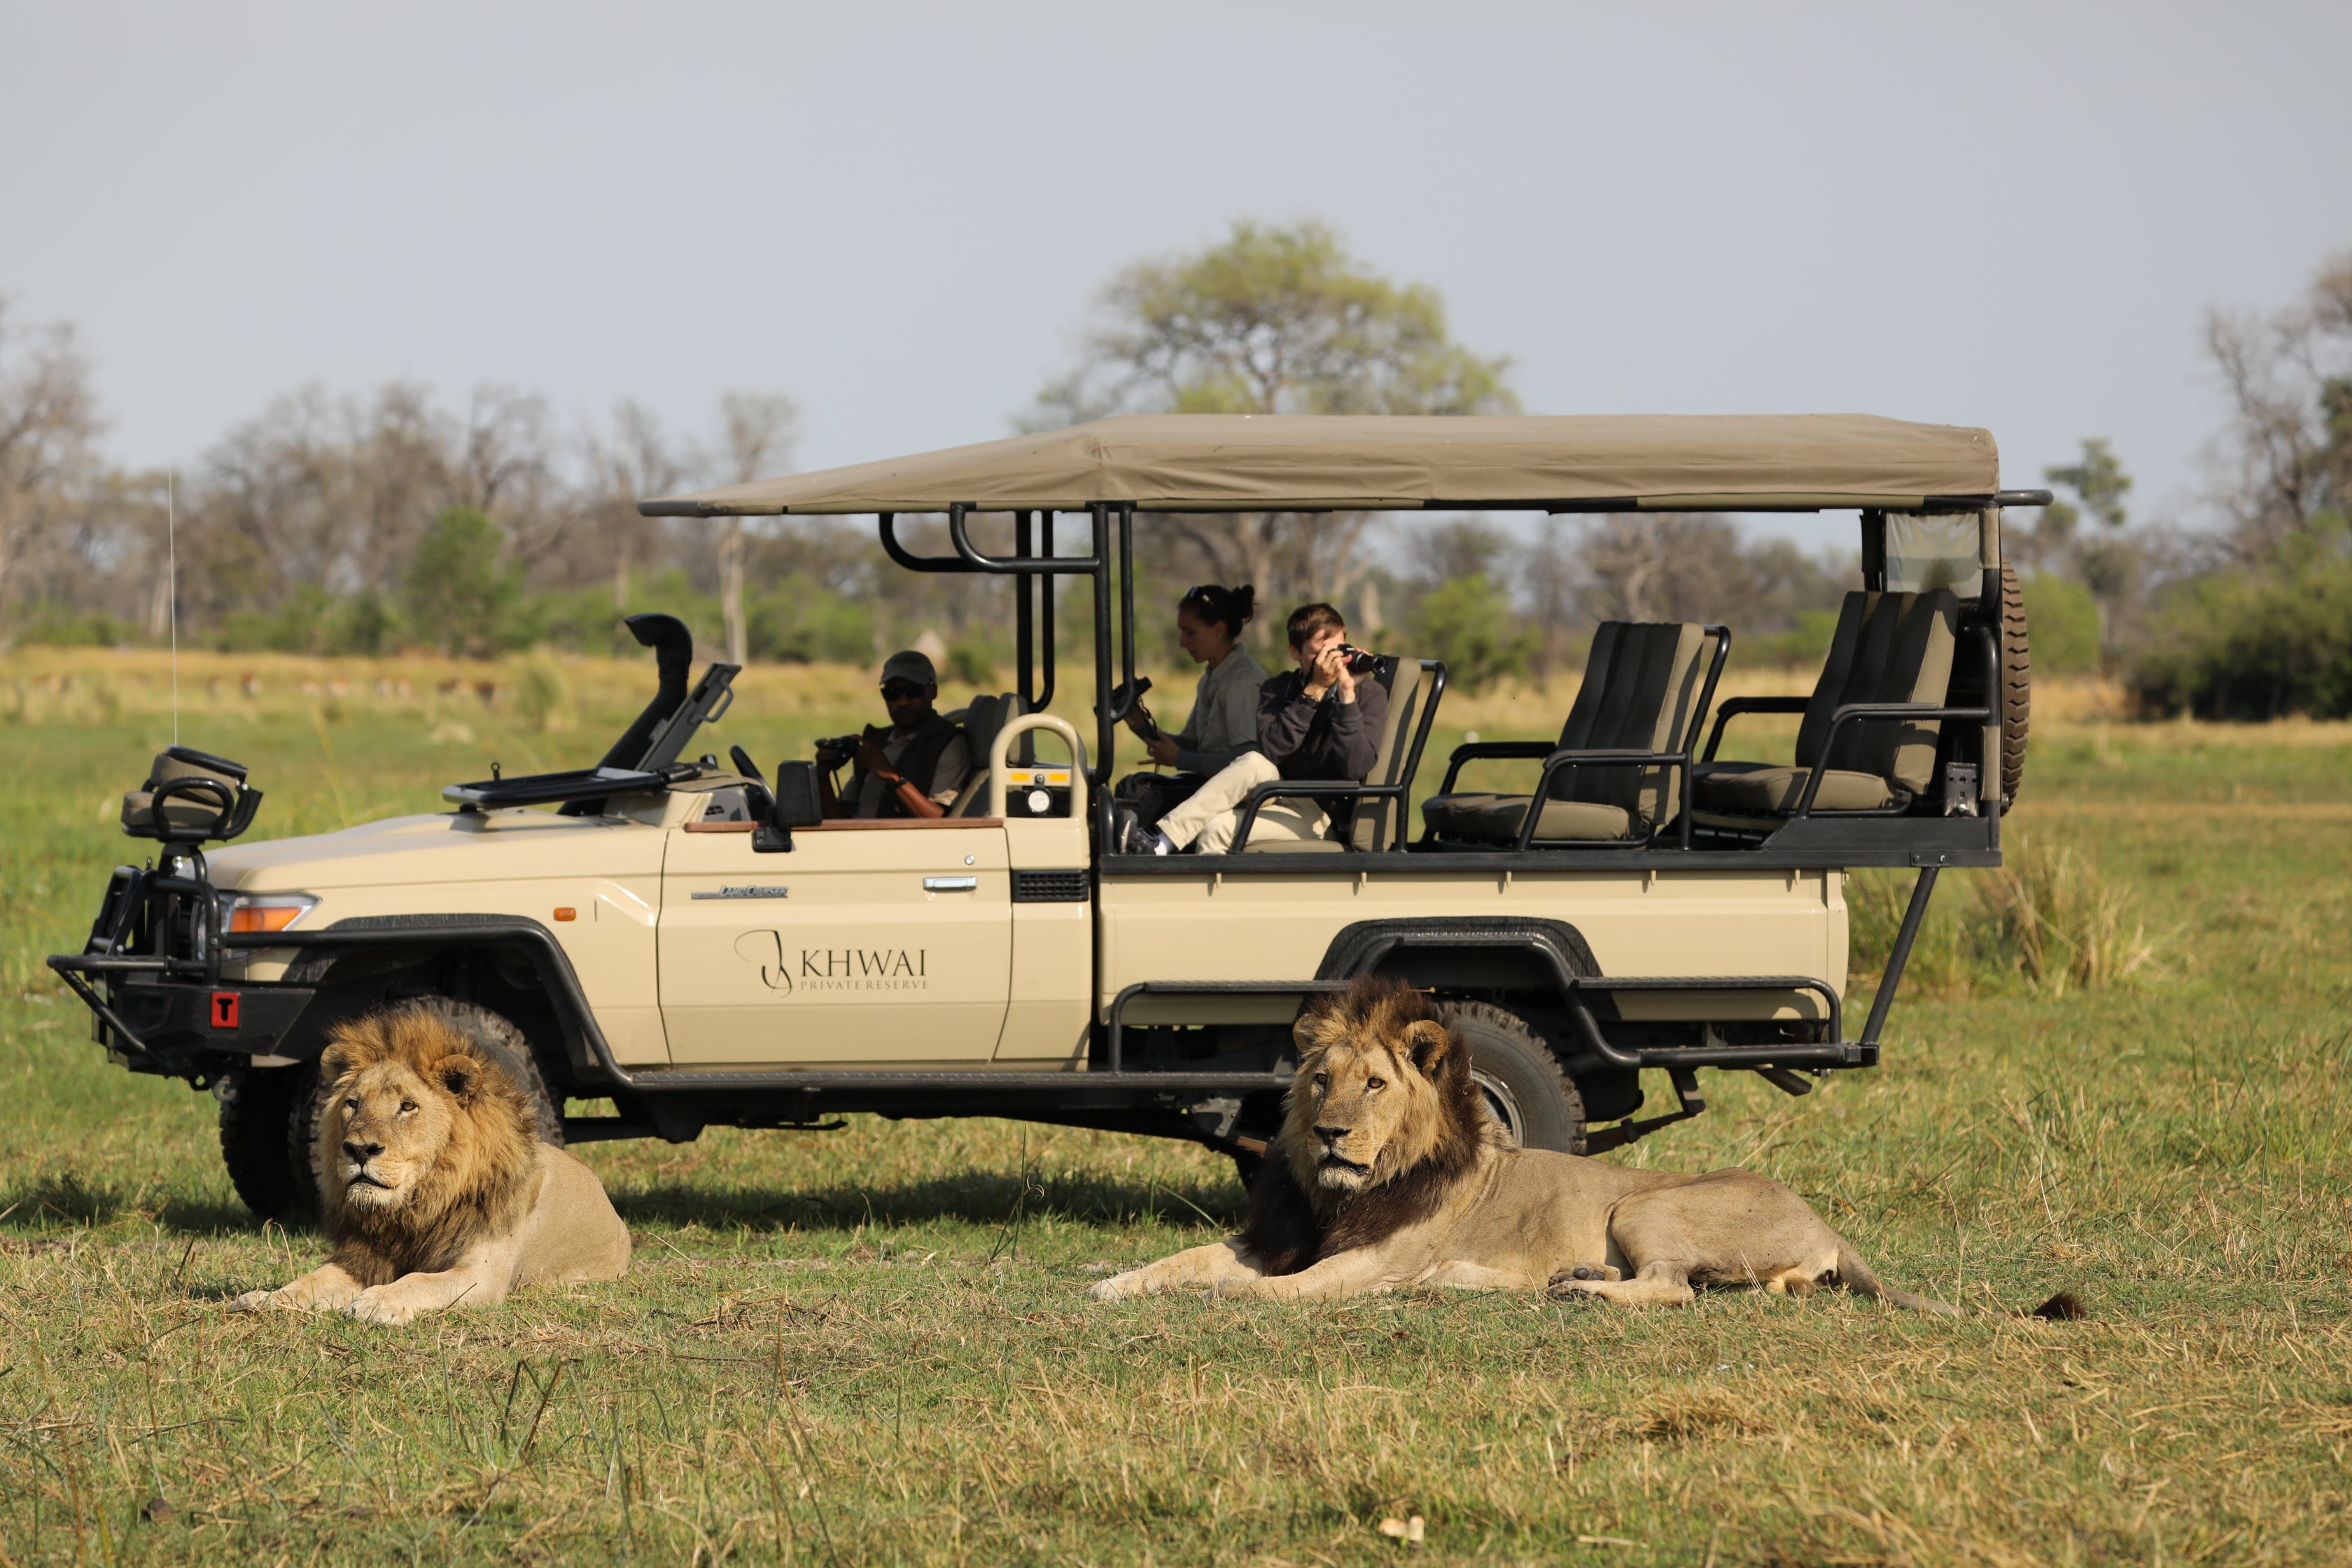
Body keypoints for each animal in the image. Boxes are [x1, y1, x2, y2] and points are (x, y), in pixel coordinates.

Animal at [230, 1006, 630, 1326]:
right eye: (353, 1104)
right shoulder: (365, 1258)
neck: (417, 1207)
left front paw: (377, 1301)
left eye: (408, 1106)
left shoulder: (482, 1274)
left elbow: (420, 1281)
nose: (358, 1150)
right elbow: (310, 1281)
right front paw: (266, 1298)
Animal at [1091, 982, 2088, 1326]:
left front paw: (1231, 1296)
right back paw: (1568, 1278)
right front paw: (1110, 1282)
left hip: (1642, 1203)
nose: (1333, 1132)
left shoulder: (1375, 1257)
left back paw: (1580, 1291)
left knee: (1672, 1289)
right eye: (1319, 1080)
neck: (1343, 1188)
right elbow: (1180, 1257)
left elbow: (1285, 1286)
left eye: (1373, 1084)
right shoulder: (1278, 1236)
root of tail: (1828, 1222)